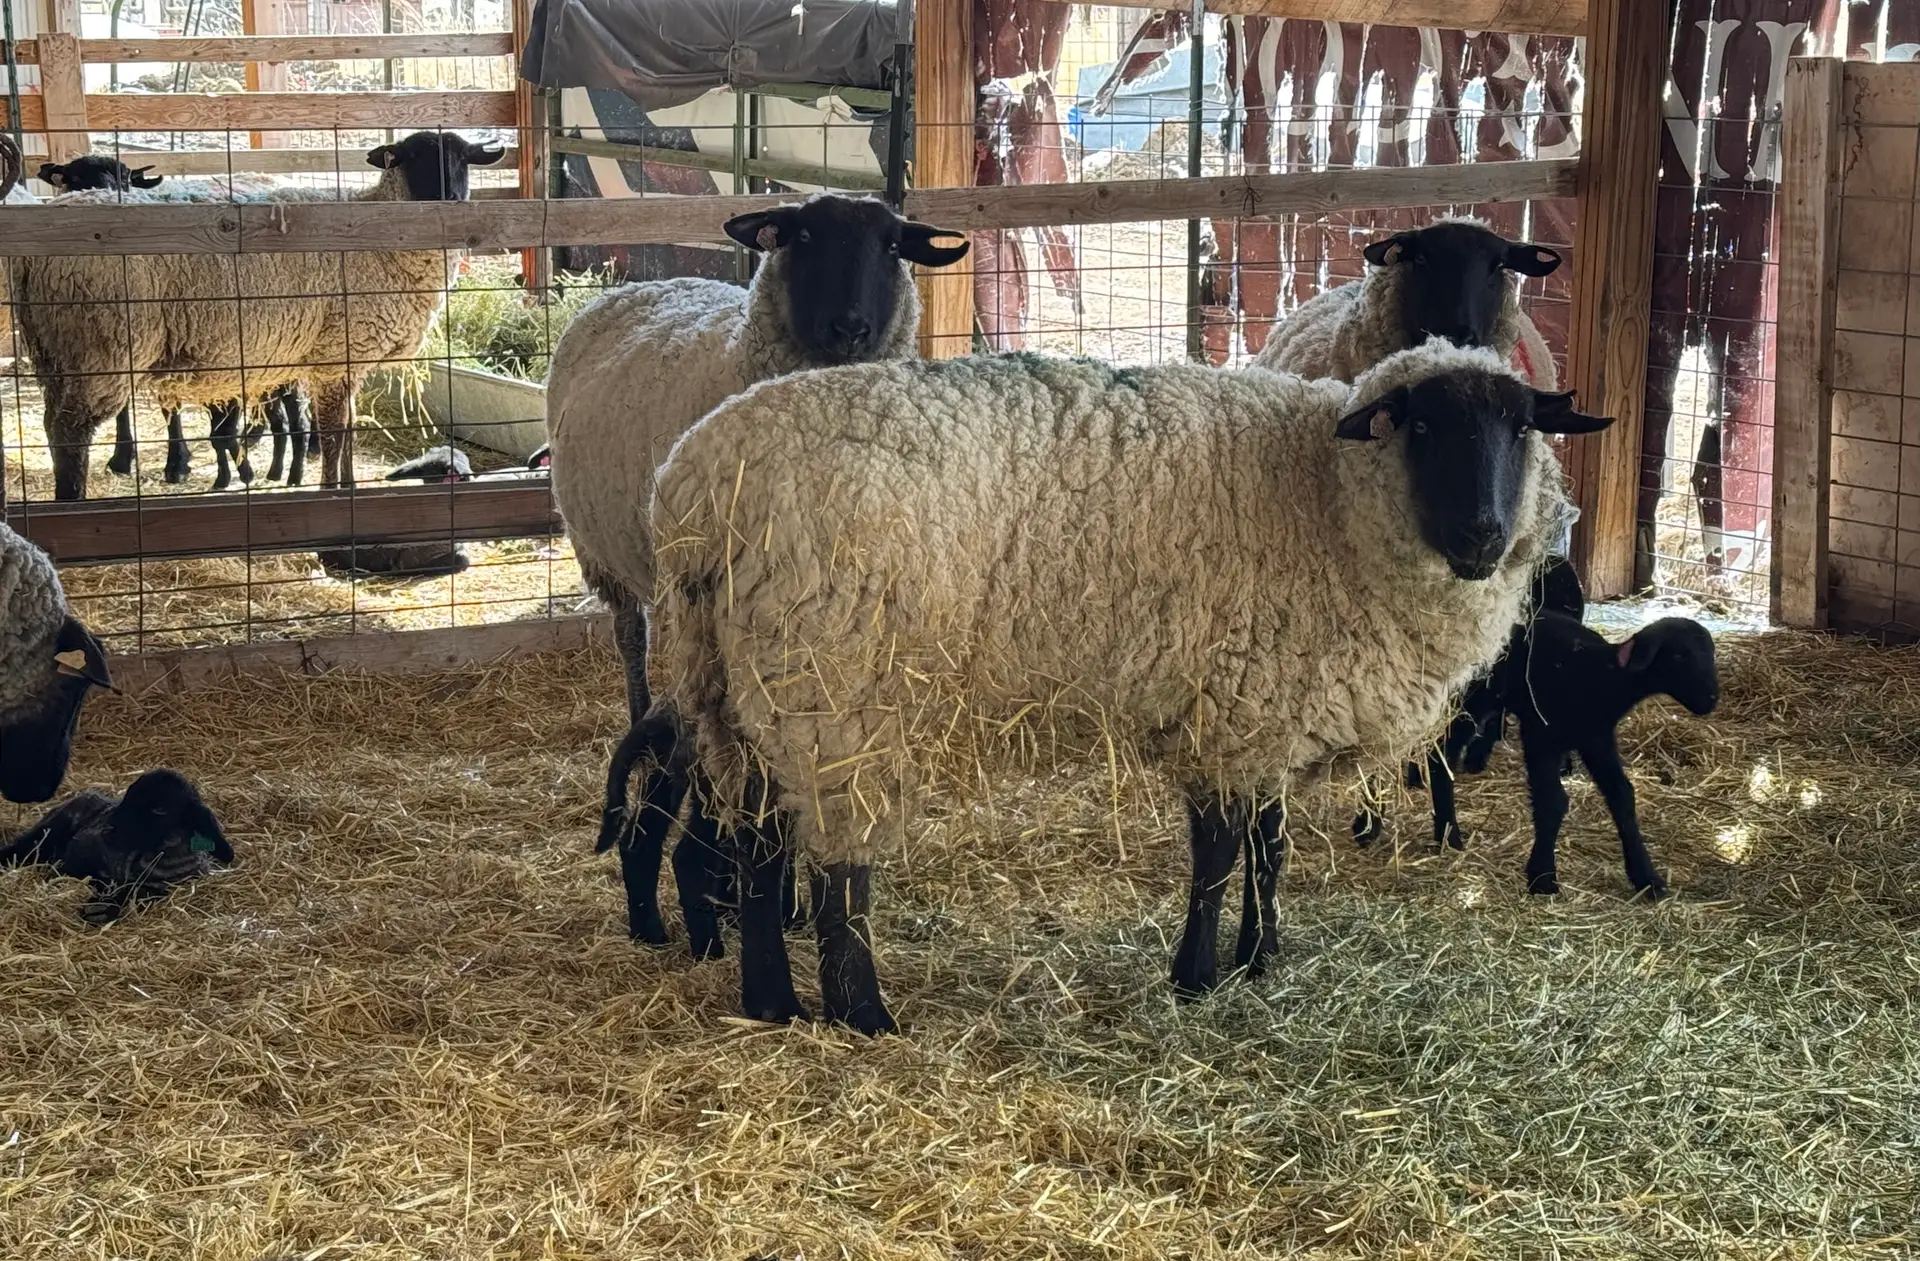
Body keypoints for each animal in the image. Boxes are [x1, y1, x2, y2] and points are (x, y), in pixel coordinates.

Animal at [0, 768, 232, 924]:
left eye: (159, 809)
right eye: (128, 795)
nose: (107, 829)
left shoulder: (161, 888)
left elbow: (135, 893)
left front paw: (100, 908)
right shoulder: (82, 852)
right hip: (49, 829)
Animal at [11, 130, 506, 501]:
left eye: (463, 159)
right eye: (414, 158)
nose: (451, 200)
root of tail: (31, 256)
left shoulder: (344, 361)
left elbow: (344, 431)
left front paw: (345, 485)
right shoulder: (336, 352)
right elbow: (333, 433)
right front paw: (331, 493)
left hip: (55, 351)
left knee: (53, 426)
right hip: (101, 346)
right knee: (71, 432)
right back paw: (75, 502)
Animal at [545, 193, 968, 951]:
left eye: (892, 245)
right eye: (800, 235)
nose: (850, 329)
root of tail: (650, 280)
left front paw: (785, 901)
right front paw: (746, 894)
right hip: (617, 567)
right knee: (632, 645)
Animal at [641, 339, 1612, 1033]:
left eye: (1521, 429)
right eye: (1422, 427)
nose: (1485, 537)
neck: (1326, 498)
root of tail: (693, 490)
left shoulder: (1269, 708)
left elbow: (1269, 846)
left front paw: (1260, 958)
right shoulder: (1233, 703)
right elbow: (1219, 853)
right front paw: (1197, 976)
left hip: (741, 689)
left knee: (759, 846)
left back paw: (772, 1003)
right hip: (836, 688)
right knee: (838, 867)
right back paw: (864, 1014)